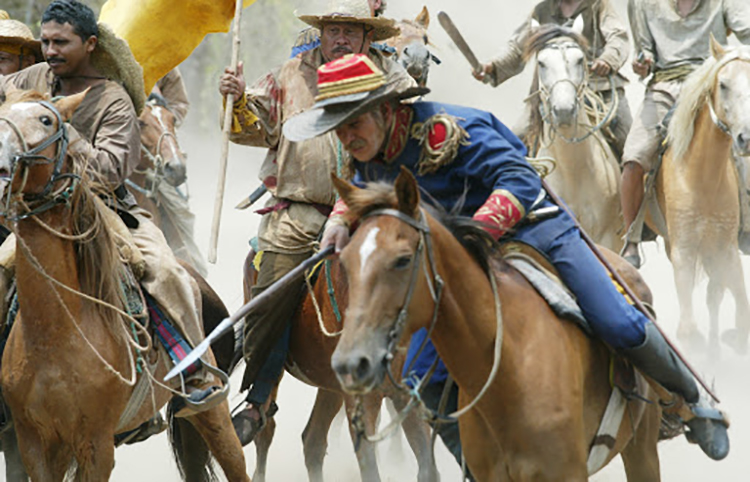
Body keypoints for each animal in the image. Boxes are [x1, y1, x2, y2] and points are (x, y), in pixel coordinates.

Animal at [328, 169, 664, 478]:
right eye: (344, 262)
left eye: (402, 259)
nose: (350, 363)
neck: (510, 368)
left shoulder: (566, 472)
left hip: (642, 448)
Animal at [652, 38, 750, 354]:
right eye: (724, 85)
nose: (746, 138)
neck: (702, 179)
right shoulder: (683, 248)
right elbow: (688, 330)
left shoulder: (724, 248)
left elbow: (736, 308)